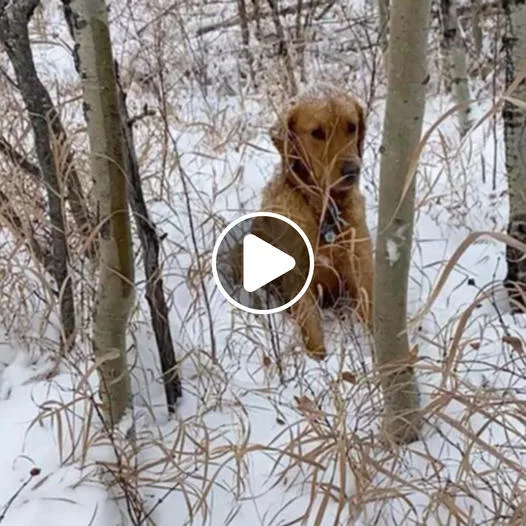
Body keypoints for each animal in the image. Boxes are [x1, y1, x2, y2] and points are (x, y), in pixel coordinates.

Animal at [256, 86, 376, 360]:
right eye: (317, 133)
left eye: (352, 127)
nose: (352, 171)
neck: (324, 210)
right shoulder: (298, 277)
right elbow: (312, 330)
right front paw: (319, 362)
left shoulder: (360, 266)